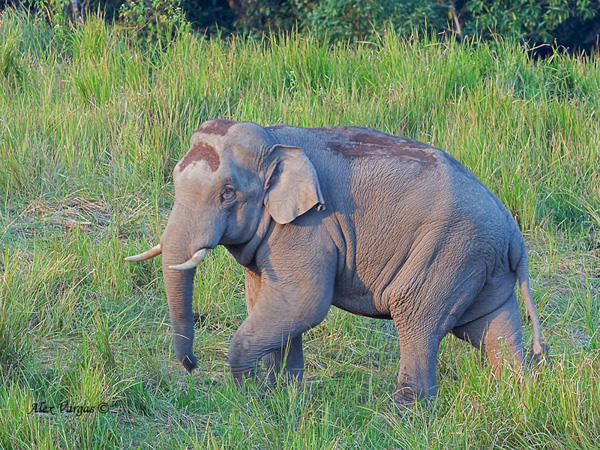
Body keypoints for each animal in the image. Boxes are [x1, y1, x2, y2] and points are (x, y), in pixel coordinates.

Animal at [127, 118, 548, 404]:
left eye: (227, 193)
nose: (192, 365)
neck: (273, 140)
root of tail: (513, 231)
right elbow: (267, 300)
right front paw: (286, 397)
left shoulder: (308, 227)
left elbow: (304, 302)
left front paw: (253, 396)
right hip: (481, 262)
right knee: (492, 328)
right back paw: (520, 395)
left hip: (448, 251)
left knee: (416, 319)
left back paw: (405, 413)